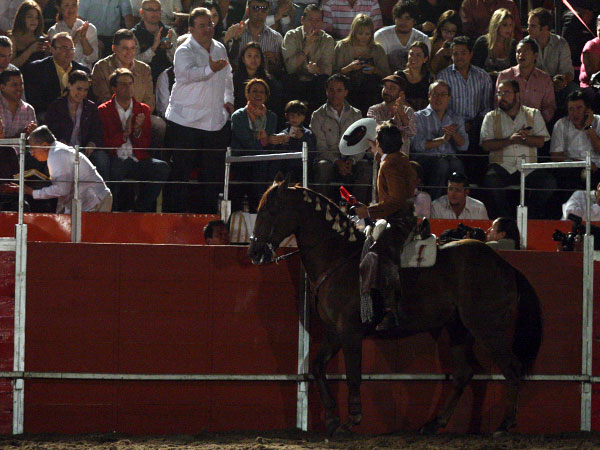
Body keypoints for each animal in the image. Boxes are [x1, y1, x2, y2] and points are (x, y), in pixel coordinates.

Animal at [248, 178, 544, 436]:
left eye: (270, 210)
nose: (255, 252)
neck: (339, 257)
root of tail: (505, 265)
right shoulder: (334, 331)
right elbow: (318, 367)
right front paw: (331, 418)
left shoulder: (350, 332)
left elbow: (353, 374)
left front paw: (350, 421)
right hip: (458, 329)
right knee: (463, 374)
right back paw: (435, 424)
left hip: (486, 327)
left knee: (511, 368)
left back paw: (504, 425)